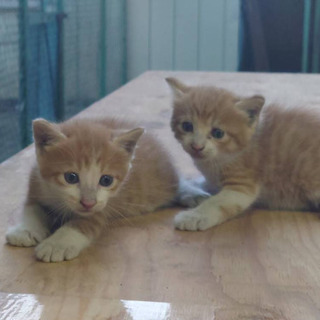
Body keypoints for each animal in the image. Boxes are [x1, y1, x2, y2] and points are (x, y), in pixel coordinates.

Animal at [6, 116, 206, 262]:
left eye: (106, 180)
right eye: (71, 177)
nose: (87, 202)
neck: (59, 199)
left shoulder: (102, 206)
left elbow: (83, 223)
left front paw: (57, 243)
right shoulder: (36, 182)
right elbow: (31, 210)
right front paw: (26, 230)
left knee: (177, 184)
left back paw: (194, 195)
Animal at [166, 78, 320, 230]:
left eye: (218, 133)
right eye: (187, 126)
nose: (197, 146)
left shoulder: (241, 185)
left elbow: (216, 202)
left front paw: (193, 216)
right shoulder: (213, 179)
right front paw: (188, 191)